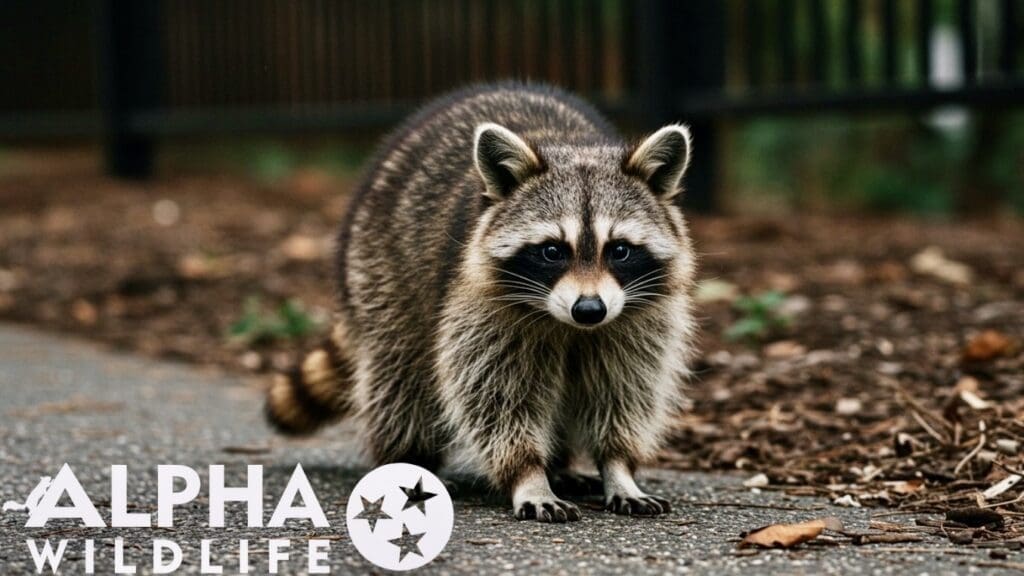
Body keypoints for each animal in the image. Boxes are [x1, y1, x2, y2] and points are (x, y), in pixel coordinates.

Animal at [266, 84, 698, 522]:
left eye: (620, 250)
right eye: (552, 251)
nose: (589, 310)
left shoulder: (636, 318)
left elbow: (625, 389)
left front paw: (617, 466)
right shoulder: (481, 306)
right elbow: (496, 395)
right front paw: (528, 473)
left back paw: (560, 465)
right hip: (380, 267)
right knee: (401, 377)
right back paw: (411, 457)